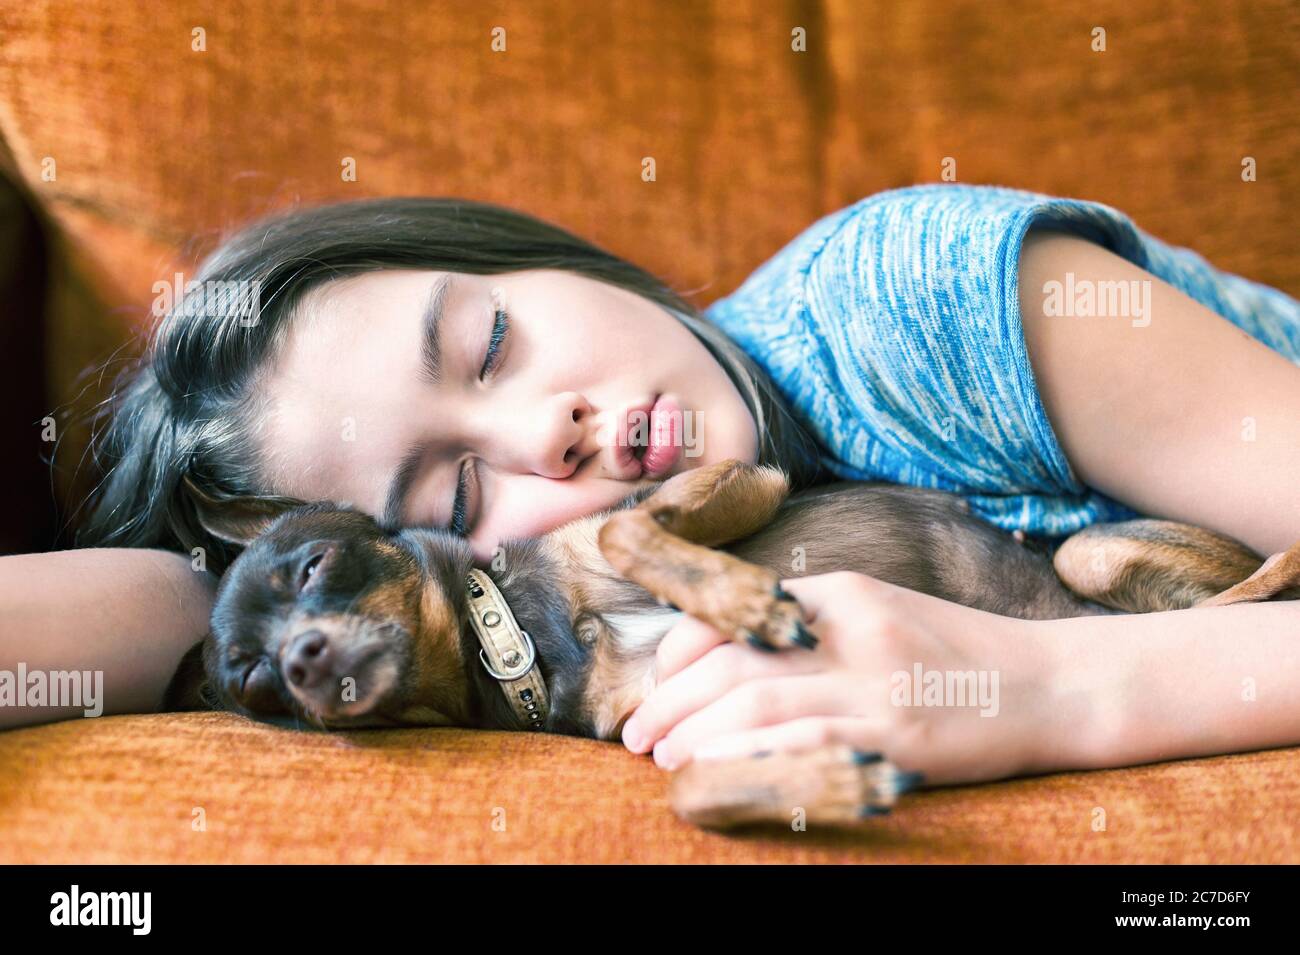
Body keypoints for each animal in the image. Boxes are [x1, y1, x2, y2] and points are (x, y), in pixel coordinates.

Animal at [170, 462, 1300, 831]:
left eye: (313, 566)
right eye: (255, 683)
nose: (301, 663)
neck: (524, 634)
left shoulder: (735, 478)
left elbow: (624, 532)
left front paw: (750, 603)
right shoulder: (668, 726)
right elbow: (687, 790)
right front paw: (834, 784)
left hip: (1090, 556)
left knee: (1241, 593)